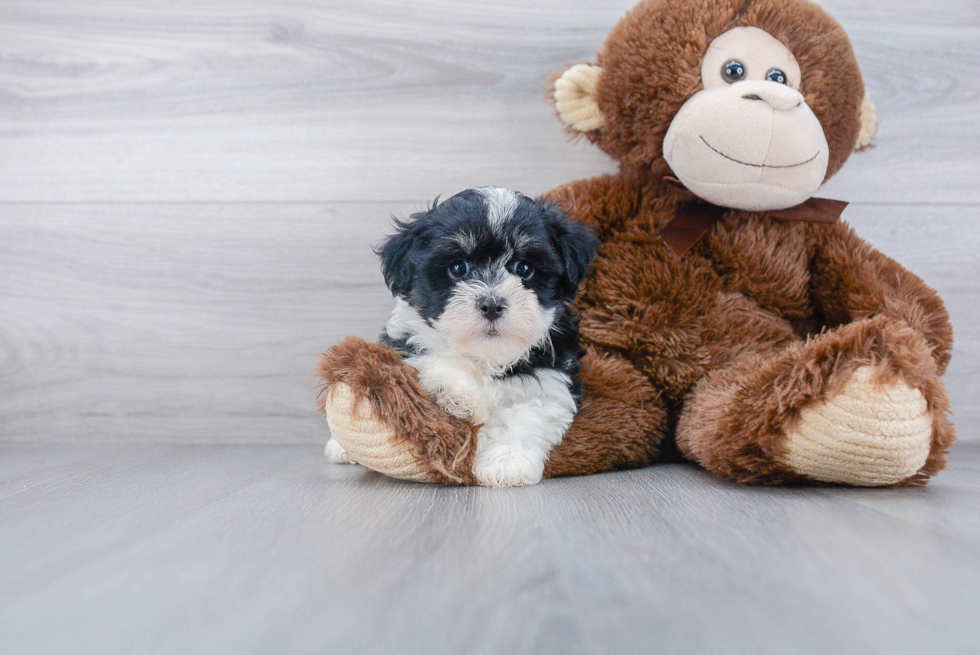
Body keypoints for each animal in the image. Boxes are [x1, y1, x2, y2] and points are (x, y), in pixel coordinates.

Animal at [324, 187, 596, 484]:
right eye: (458, 268)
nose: (491, 304)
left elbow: (526, 415)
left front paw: (506, 464)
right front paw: (457, 394)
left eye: (523, 268)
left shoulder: (551, 379)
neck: (486, 353)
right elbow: (433, 360)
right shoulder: (409, 342)